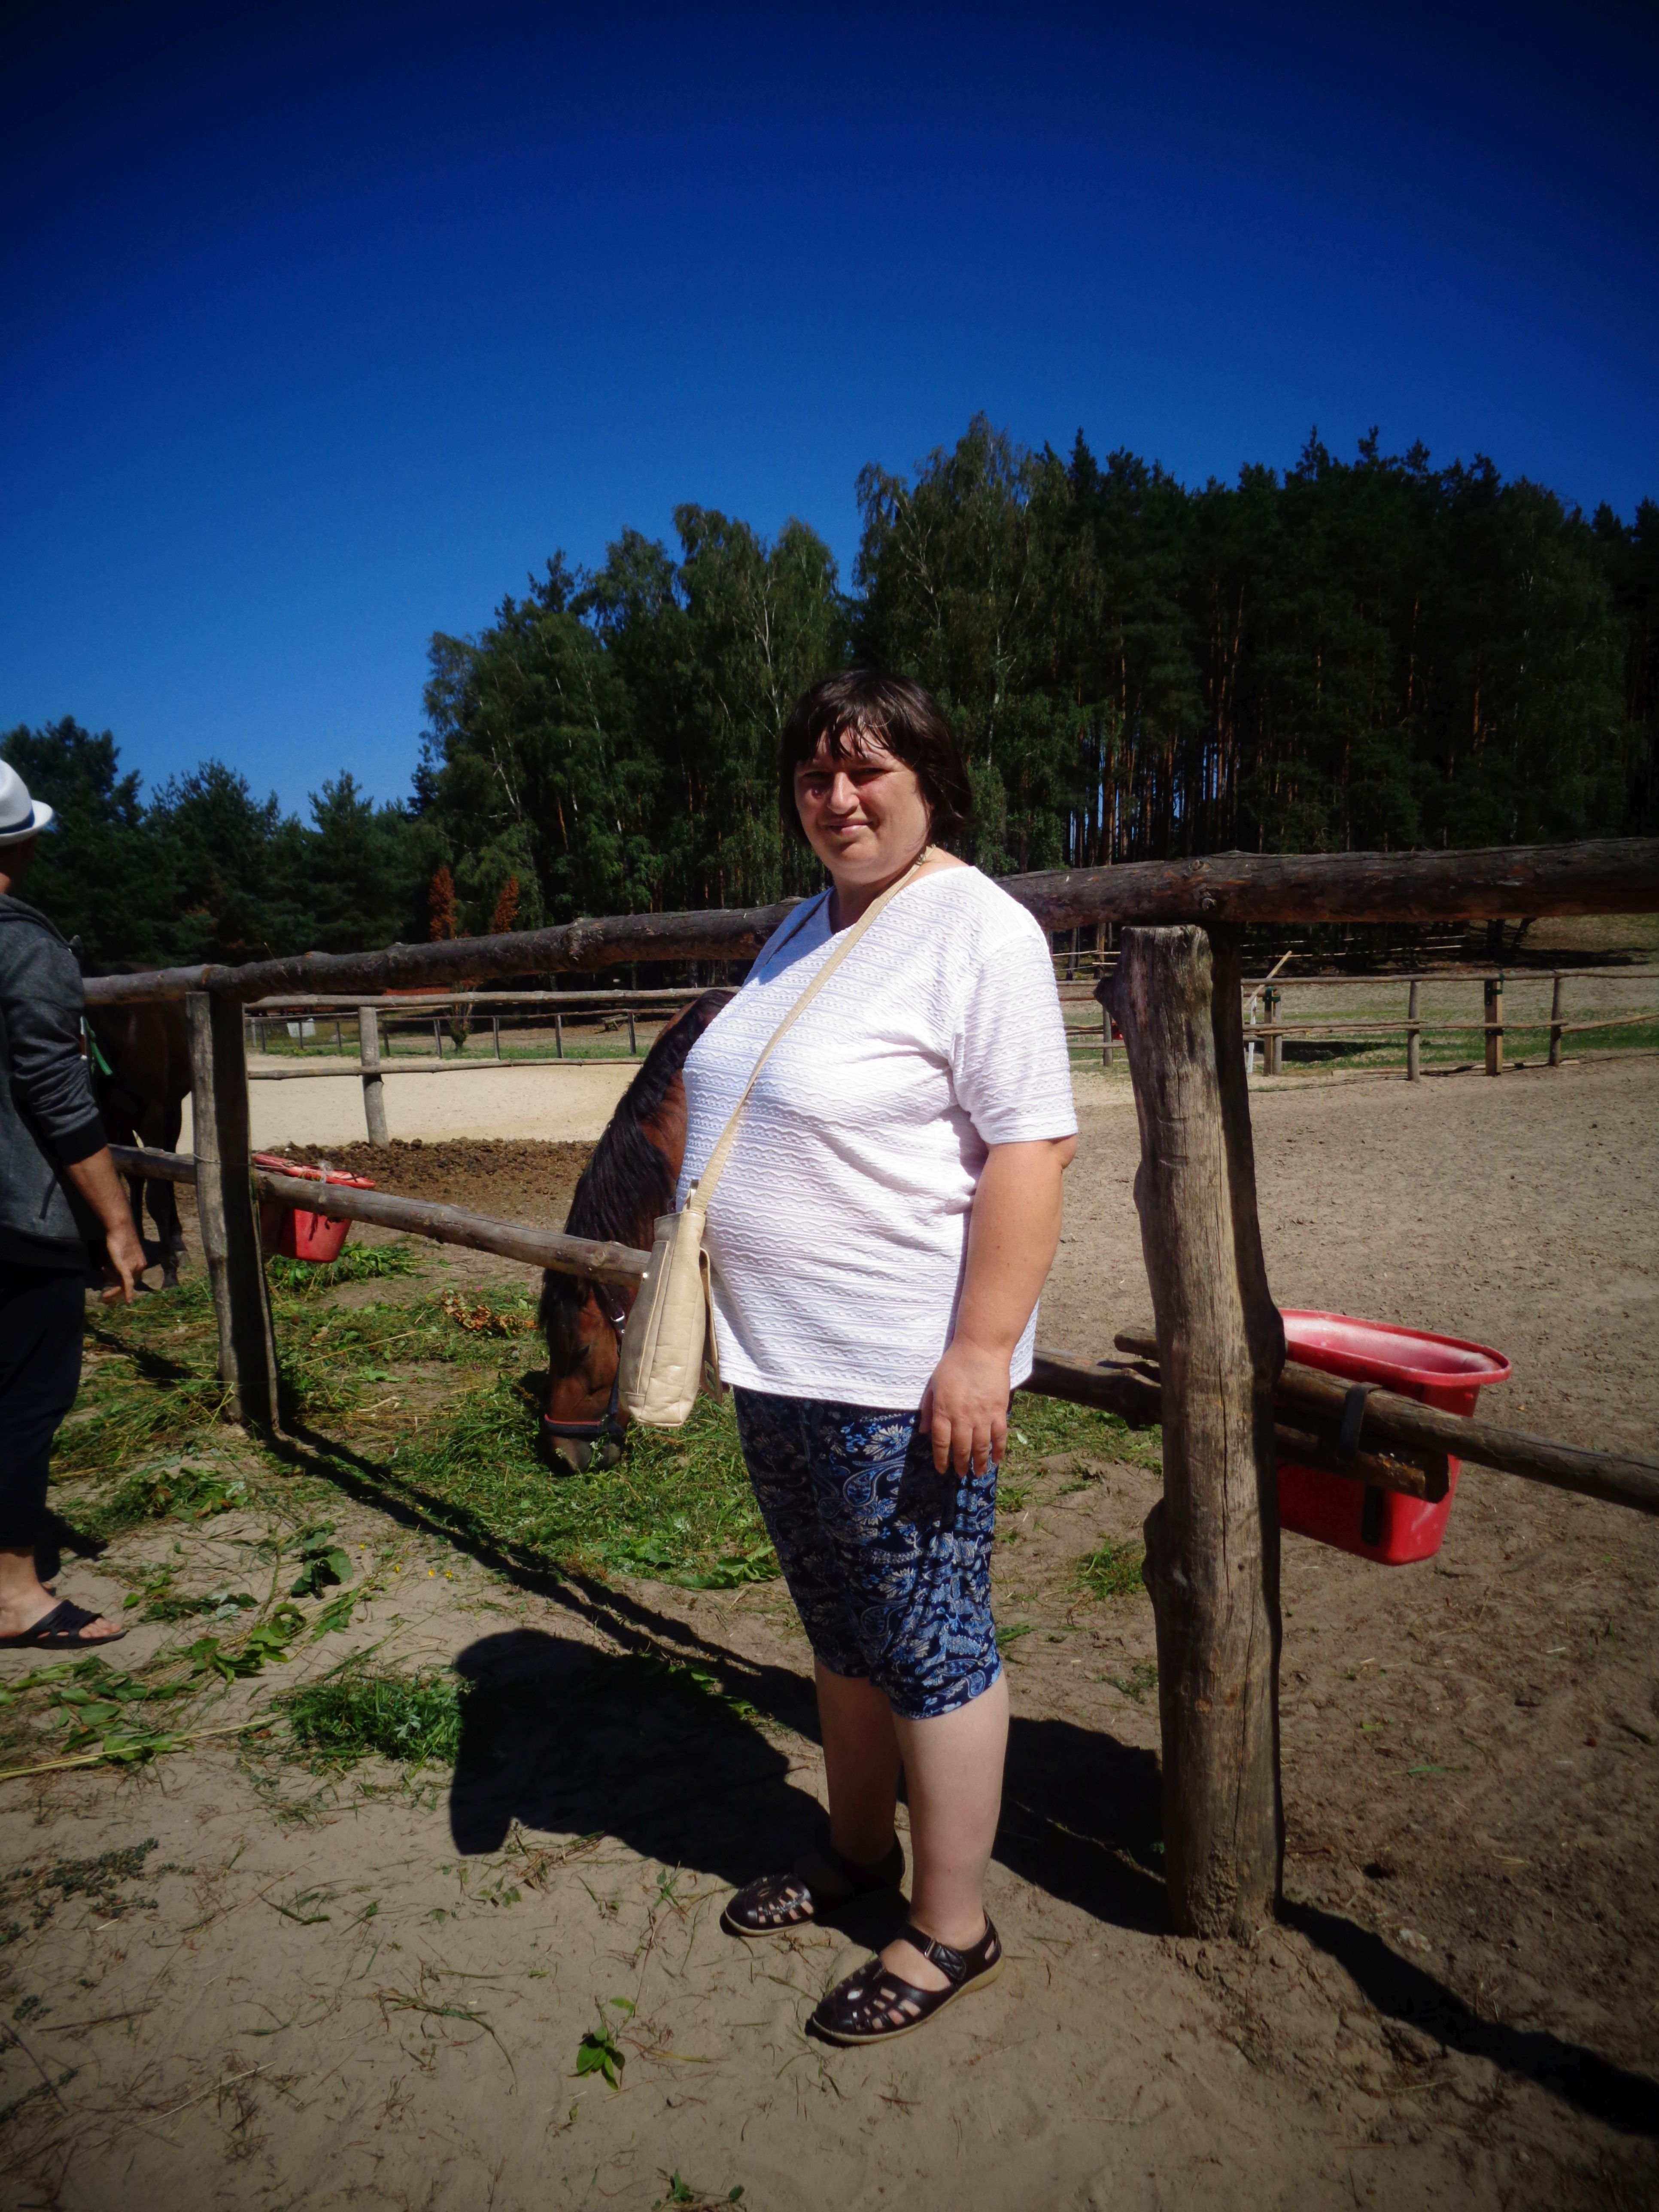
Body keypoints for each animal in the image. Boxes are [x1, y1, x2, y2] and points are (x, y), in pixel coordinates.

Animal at [86, 995, 192, 1288]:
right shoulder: (108, 1117)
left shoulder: (152, 1114)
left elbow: (157, 1196)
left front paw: (170, 1272)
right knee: (136, 1176)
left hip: (171, 1110)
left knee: (167, 1168)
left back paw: (177, 1243)